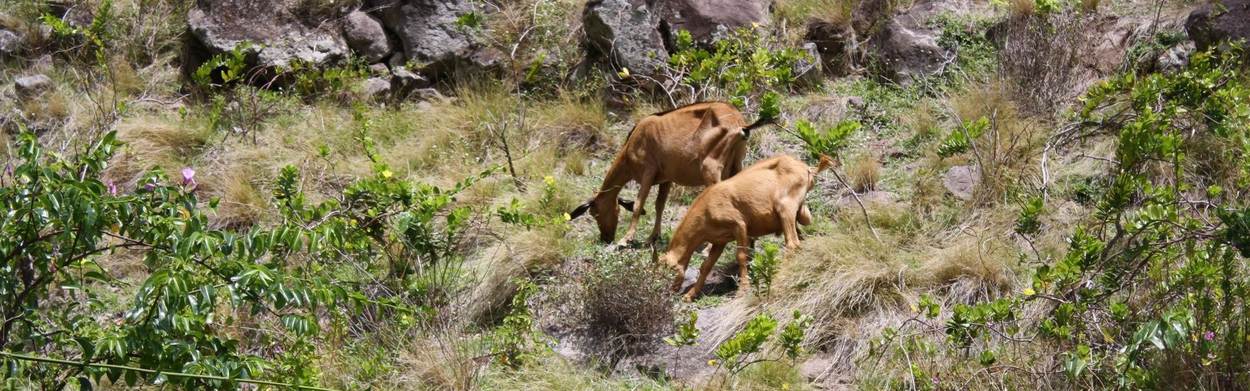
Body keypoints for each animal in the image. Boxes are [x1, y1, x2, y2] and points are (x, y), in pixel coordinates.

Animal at [570, 101, 770, 244]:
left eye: (594, 213)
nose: (606, 238)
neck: (630, 147)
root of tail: (740, 124)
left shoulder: (647, 172)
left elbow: (639, 204)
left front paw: (626, 240)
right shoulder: (666, 178)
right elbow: (659, 205)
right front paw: (652, 237)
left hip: (711, 168)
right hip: (737, 164)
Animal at [660, 153, 835, 299]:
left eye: (666, 271)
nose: (666, 292)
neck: (706, 207)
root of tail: (808, 169)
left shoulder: (739, 225)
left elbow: (742, 256)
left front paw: (743, 289)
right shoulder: (719, 240)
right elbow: (706, 266)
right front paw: (690, 295)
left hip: (785, 208)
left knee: (792, 244)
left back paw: (779, 276)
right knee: (801, 241)